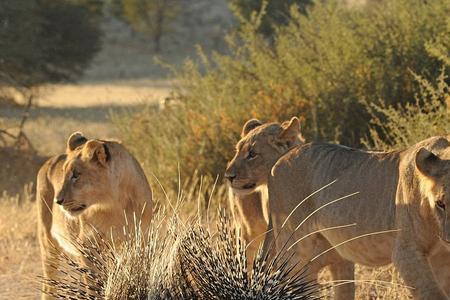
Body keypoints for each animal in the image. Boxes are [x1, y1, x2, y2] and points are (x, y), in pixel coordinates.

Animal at [37, 132, 153, 298]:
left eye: (76, 175)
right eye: (63, 174)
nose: (57, 201)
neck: (114, 205)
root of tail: (50, 160)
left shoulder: (140, 241)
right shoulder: (87, 246)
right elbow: (93, 286)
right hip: (47, 241)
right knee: (48, 286)